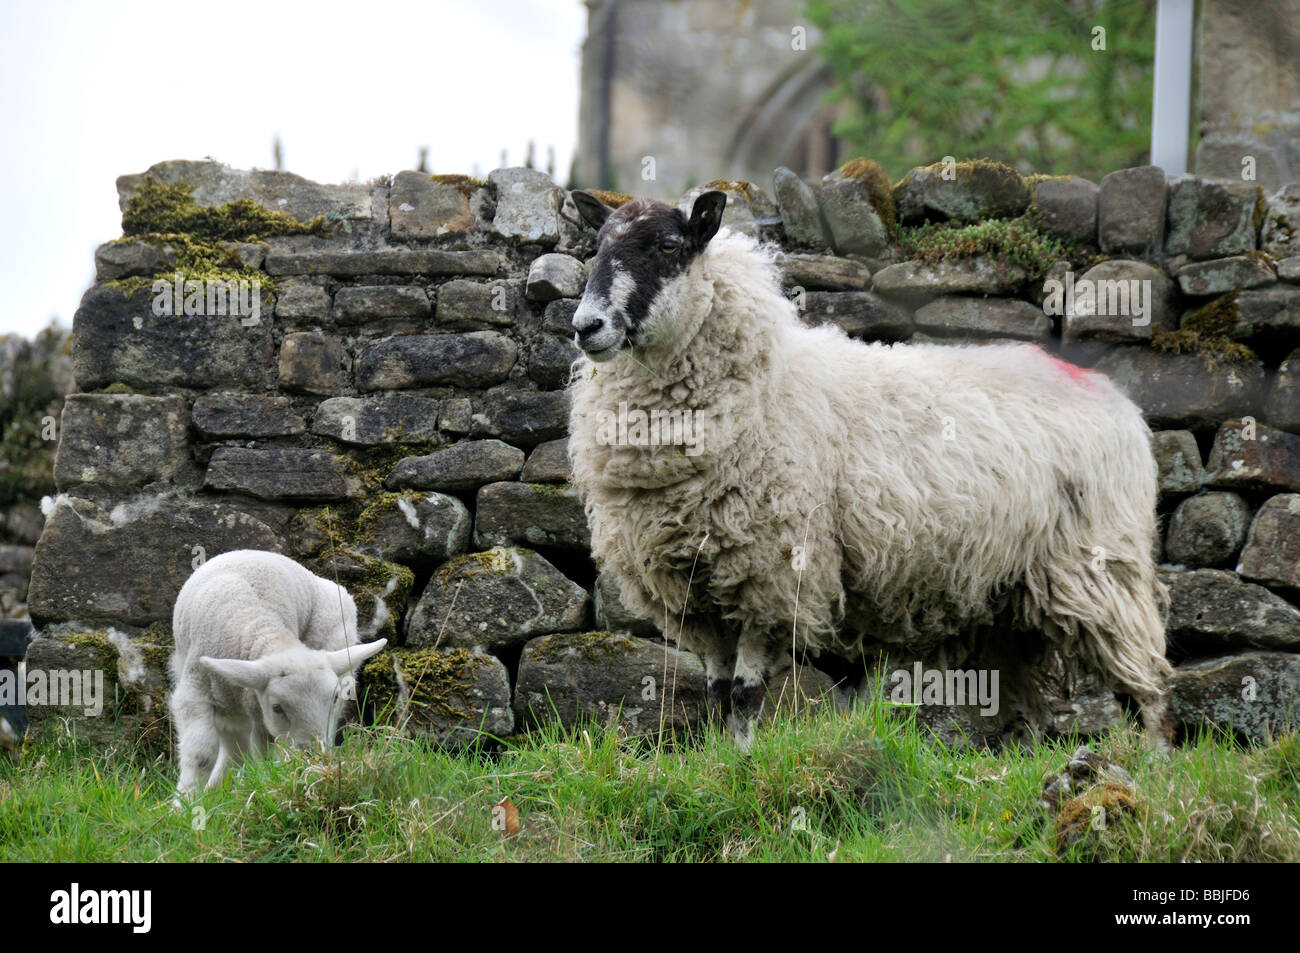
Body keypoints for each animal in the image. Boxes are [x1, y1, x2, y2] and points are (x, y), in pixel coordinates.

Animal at [169, 549, 387, 796]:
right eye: (277, 707)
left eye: (333, 698)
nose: (313, 758)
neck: (256, 624)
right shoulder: (195, 693)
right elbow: (202, 754)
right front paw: (186, 799)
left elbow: (261, 751)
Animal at [566, 189, 1171, 750]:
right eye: (597, 248)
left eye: (669, 247)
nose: (585, 326)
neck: (764, 380)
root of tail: (1112, 394)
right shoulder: (695, 589)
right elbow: (715, 692)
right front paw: (718, 762)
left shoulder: (773, 572)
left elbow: (743, 692)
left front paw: (742, 762)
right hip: (1008, 592)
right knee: (1028, 694)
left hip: (1101, 565)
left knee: (1144, 683)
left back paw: (1151, 762)